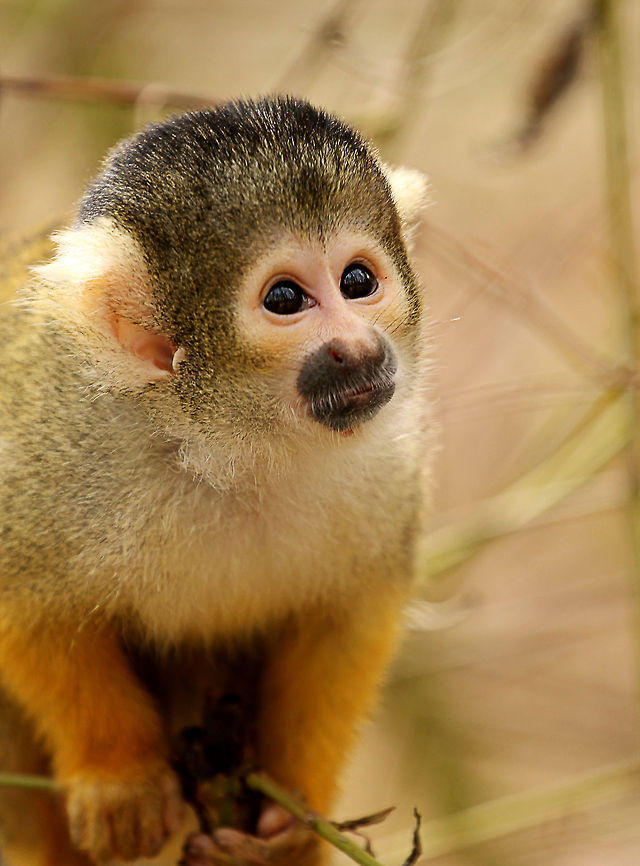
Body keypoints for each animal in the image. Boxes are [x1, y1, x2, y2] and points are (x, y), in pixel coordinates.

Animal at [0, 96, 430, 866]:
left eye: (358, 282)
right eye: (285, 298)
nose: (359, 347)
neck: (229, 449)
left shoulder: (390, 463)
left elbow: (350, 616)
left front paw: (295, 817)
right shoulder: (48, 445)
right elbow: (26, 607)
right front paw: (119, 775)